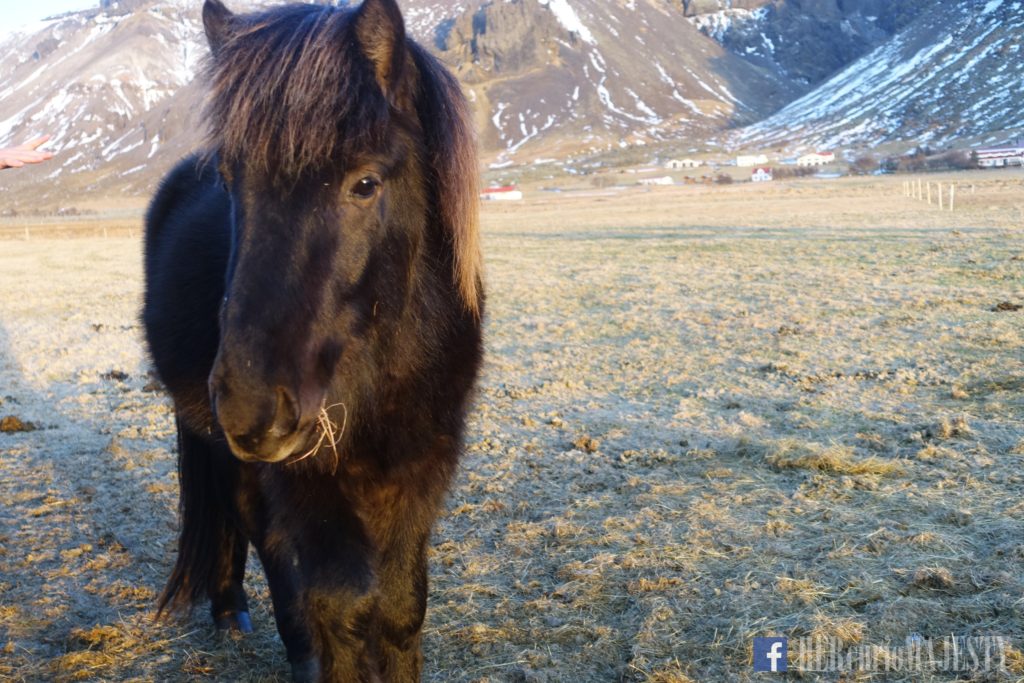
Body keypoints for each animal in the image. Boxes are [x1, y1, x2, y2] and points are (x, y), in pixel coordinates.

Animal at [141, 1, 487, 679]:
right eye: (231, 181)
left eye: (366, 183)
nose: (251, 409)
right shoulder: (310, 481)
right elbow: (342, 602)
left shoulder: (422, 465)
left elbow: (403, 604)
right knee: (264, 536)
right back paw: (249, 621)